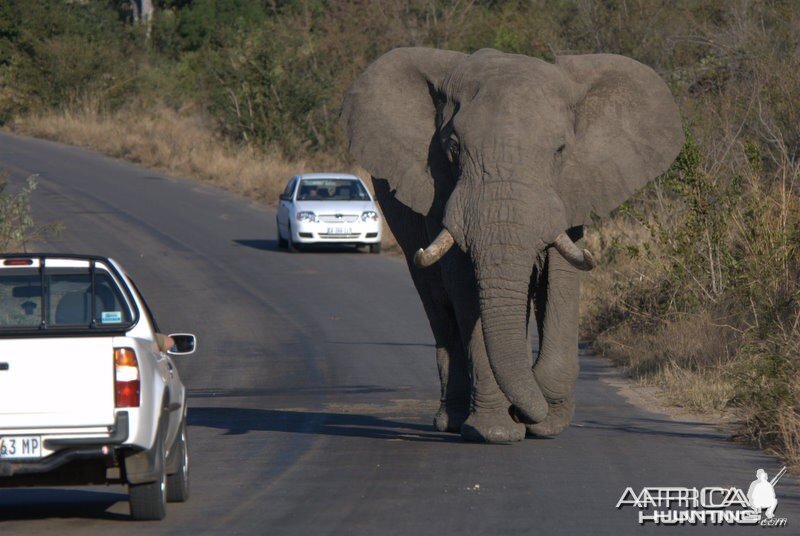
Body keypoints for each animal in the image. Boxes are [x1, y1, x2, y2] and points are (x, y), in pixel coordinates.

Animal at [338, 46, 680, 442]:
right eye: (453, 148)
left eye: (560, 150)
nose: (523, 414)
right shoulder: (442, 195)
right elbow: (465, 288)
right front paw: (495, 430)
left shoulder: (571, 192)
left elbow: (561, 282)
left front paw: (547, 421)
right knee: (437, 303)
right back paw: (452, 420)